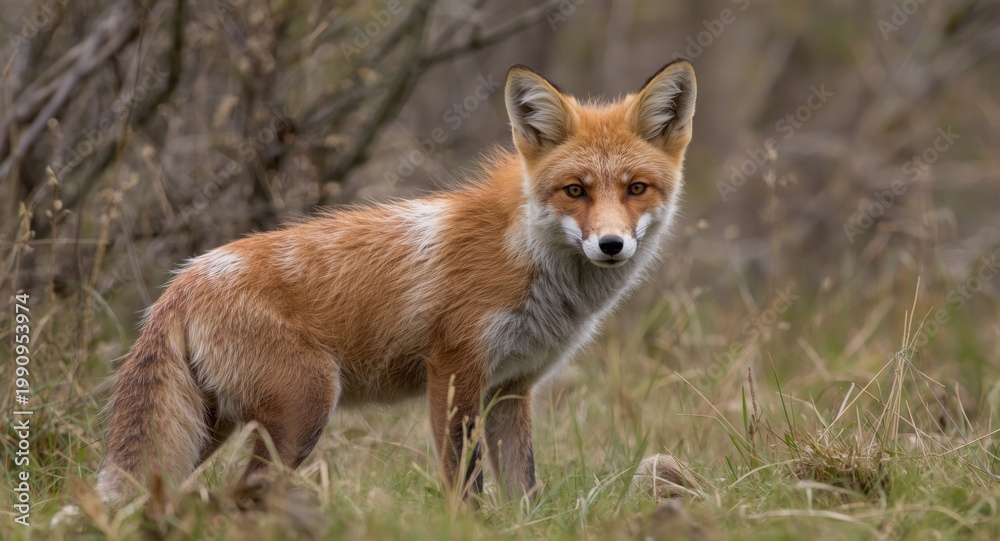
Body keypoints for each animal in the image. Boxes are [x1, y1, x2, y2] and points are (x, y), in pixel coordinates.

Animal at [95, 60, 697, 508]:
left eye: (636, 188)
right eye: (575, 190)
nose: (611, 245)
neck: (525, 257)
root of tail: (181, 283)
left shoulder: (512, 387)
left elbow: (523, 491)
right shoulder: (454, 371)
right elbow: (466, 487)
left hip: (209, 427)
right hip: (305, 406)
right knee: (244, 491)